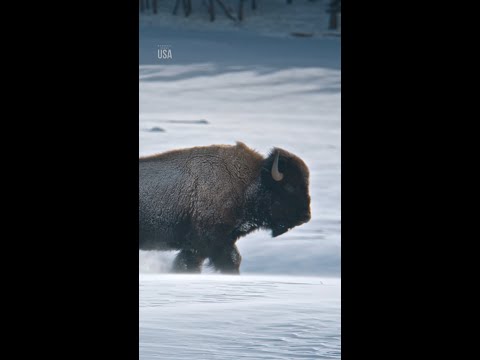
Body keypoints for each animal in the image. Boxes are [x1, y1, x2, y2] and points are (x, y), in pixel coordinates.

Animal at [139, 142, 312, 274]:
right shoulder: (213, 241)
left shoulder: (201, 246)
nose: (306, 216)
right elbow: (231, 260)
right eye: (289, 186)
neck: (249, 183)